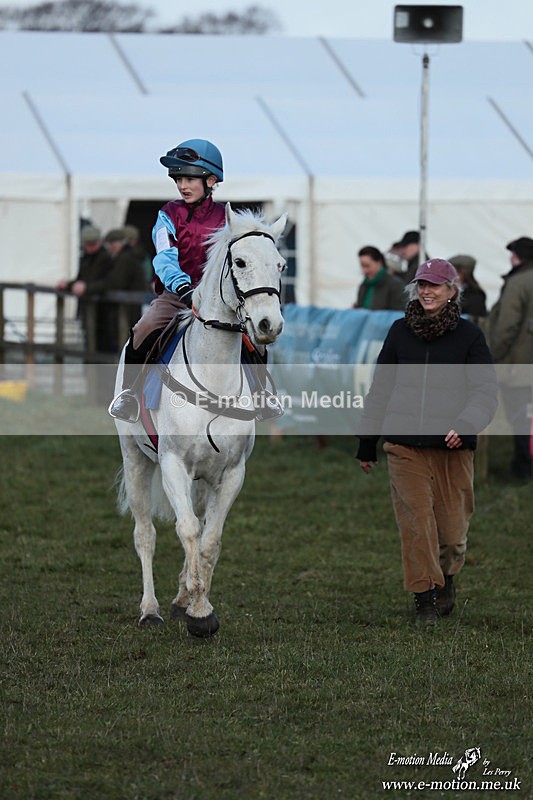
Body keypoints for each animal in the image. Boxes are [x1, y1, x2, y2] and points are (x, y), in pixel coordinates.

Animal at [114, 203, 287, 637]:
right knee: (146, 534)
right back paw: (151, 609)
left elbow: (209, 539)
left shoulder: (231, 473)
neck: (213, 380)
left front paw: (198, 606)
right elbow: (187, 530)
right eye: (239, 262)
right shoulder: (173, 465)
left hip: (201, 480)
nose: (268, 325)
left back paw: (179, 598)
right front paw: (196, 611)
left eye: (280, 264)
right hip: (135, 458)